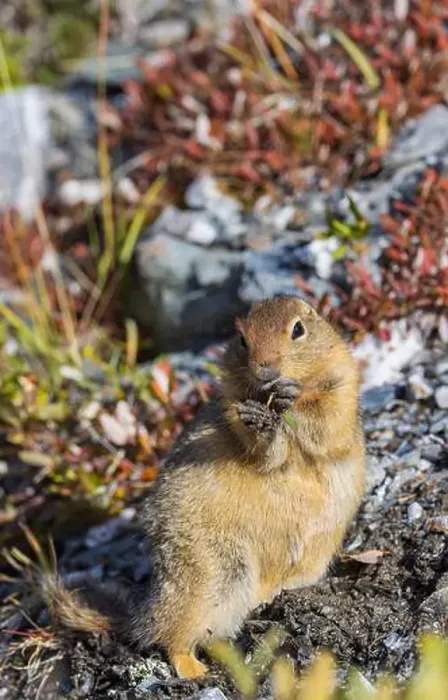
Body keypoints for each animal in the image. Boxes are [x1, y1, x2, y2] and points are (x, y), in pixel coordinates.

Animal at [41, 296, 365, 679]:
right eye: (241, 339)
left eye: (298, 329)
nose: (266, 370)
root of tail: (144, 612)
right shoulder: (232, 407)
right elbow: (265, 453)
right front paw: (262, 423)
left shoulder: (342, 386)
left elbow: (328, 421)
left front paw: (290, 397)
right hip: (213, 573)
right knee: (171, 637)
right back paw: (194, 670)